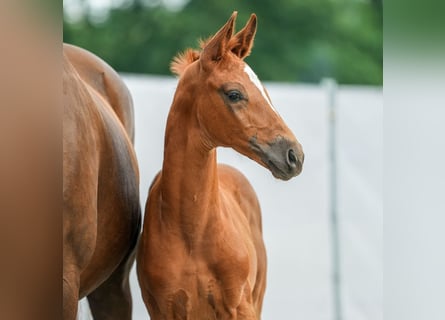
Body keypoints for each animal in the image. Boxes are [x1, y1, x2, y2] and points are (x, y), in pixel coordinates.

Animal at [137, 11, 304, 318]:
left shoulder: (240, 305)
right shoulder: (163, 309)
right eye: (234, 94)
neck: (192, 233)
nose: (294, 155)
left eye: (265, 91)